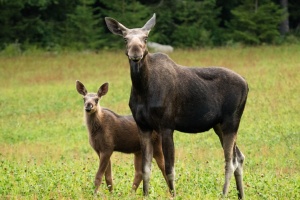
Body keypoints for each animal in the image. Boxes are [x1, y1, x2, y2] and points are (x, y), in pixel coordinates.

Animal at [105, 13, 248, 198]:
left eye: (146, 38)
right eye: (125, 38)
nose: (135, 52)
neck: (142, 88)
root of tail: (246, 84)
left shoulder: (167, 126)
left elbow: (169, 169)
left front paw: (173, 195)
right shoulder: (143, 126)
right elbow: (145, 169)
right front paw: (145, 195)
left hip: (231, 122)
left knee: (230, 161)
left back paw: (223, 194)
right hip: (219, 125)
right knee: (239, 157)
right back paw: (241, 195)